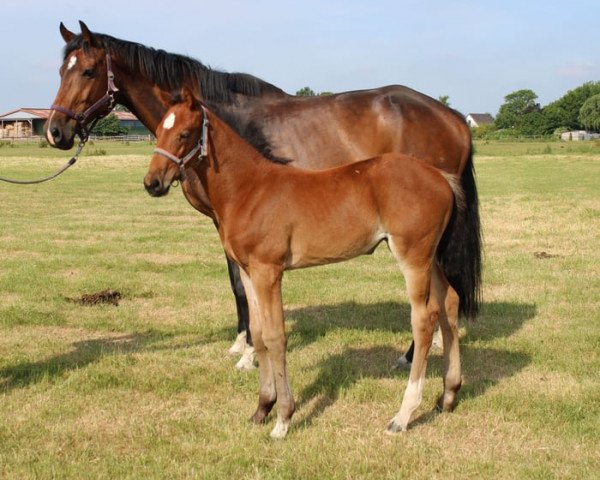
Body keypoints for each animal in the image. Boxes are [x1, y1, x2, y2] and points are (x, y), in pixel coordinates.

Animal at [145, 88, 468, 436]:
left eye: (184, 133)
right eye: (159, 129)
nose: (152, 183)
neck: (249, 188)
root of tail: (441, 177)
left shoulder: (268, 271)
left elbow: (275, 337)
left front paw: (283, 418)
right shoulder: (248, 271)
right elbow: (258, 333)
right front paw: (262, 408)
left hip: (413, 257)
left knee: (423, 319)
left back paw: (403, 415)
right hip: (430, 257)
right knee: (450, 302)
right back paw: (448, 395)